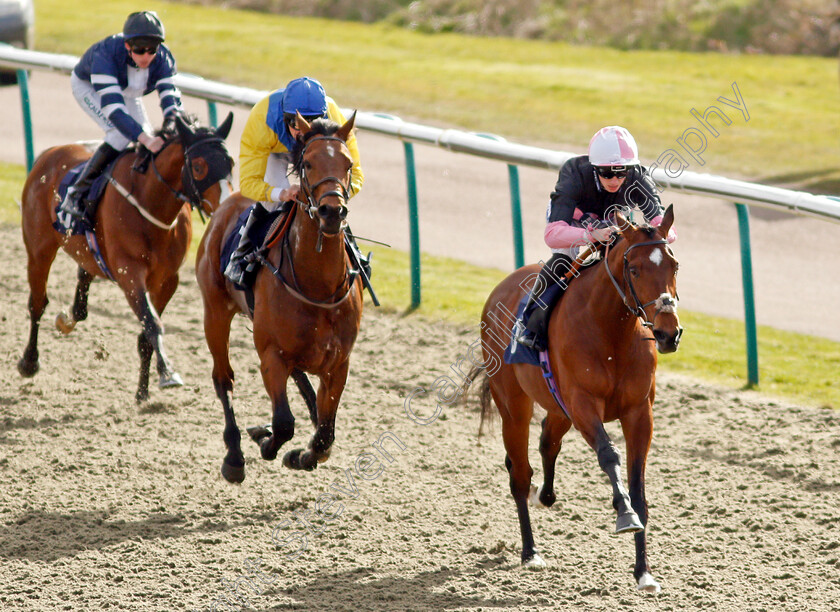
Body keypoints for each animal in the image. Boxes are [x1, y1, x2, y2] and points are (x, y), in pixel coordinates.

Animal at [18, 113, 235, 404]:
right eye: (199, 167)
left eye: (231, 163)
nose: (227, 205)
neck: (149, 203)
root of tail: (49, 154)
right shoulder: (129, 274)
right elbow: (152, 324)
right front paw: (167, 373)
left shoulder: (168, 280)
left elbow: (146, 334)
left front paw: (143, 392)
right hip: (39, 248)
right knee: (38, 303)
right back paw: (29, 361)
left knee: (83, 284)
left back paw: (68, 319)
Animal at [195, 111, 362, 482]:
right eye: (308, 163)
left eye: (347, 164)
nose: (332, 211)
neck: (318, 287)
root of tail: (227, 201)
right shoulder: (271, 355)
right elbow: (284, 423)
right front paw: (266, 440)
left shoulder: (338, 363)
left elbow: (326, 434)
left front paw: (303, 455)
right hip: (215, 311)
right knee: (223, 379)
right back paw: (235, 456)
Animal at [470, 206, 680, 592]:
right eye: (633, 269)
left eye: (674, 265)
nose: (667, 333)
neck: (611, 333)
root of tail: (501, 289)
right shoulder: (583, 405)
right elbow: (609, 456)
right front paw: (624, 514)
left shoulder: (638, 412)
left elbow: (637, 485)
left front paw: (643, 571)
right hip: (514, 406)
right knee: (519, 472)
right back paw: (530, 552)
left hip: (558, 406)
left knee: (547, 441)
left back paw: (546, 496)